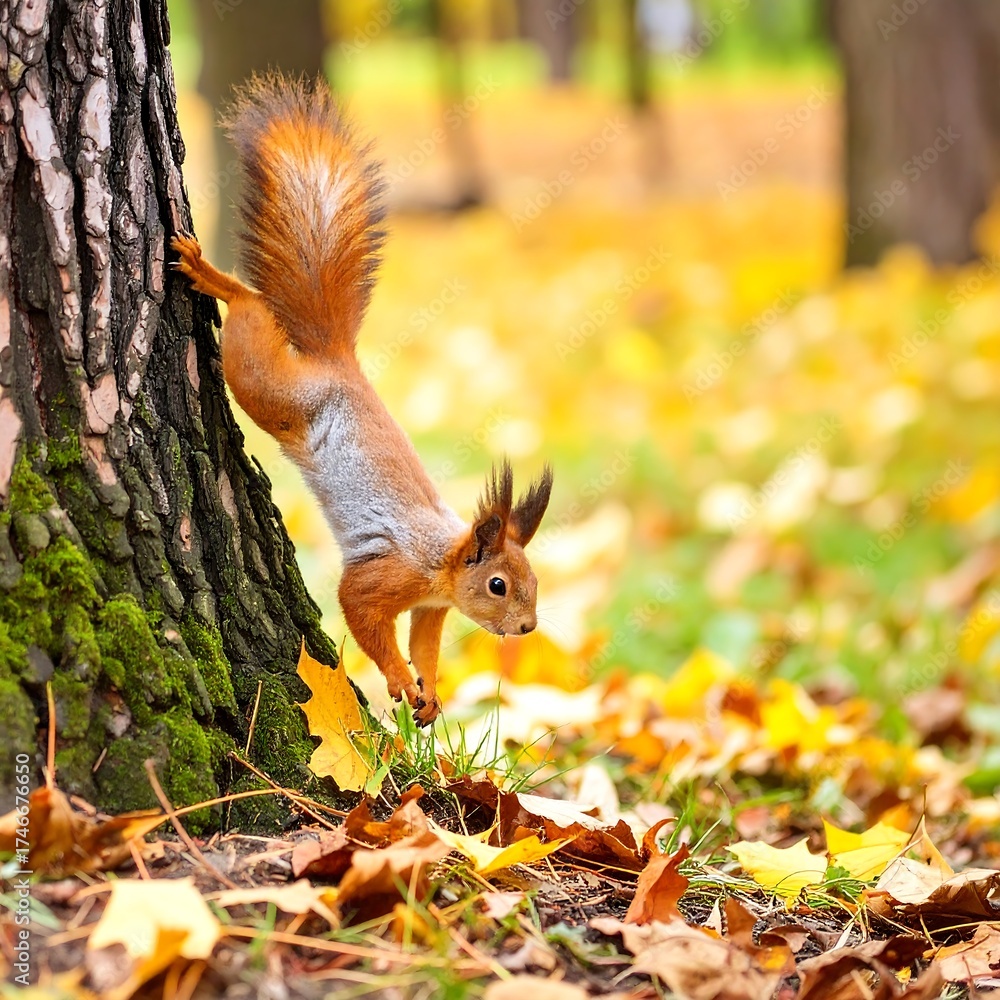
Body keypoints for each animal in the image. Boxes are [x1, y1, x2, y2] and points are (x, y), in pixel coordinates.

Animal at [172, 75, 552, 727]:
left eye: (531, 577)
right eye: (499, 584)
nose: (527, 628)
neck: (441, 564)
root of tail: (336, 361)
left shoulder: (432, 607)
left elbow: (426, 643)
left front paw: (430, 694)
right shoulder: (386, 575)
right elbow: (361, 611)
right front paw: (398, 679)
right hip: (272, 391)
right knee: (250, 312)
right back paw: (214, 278)